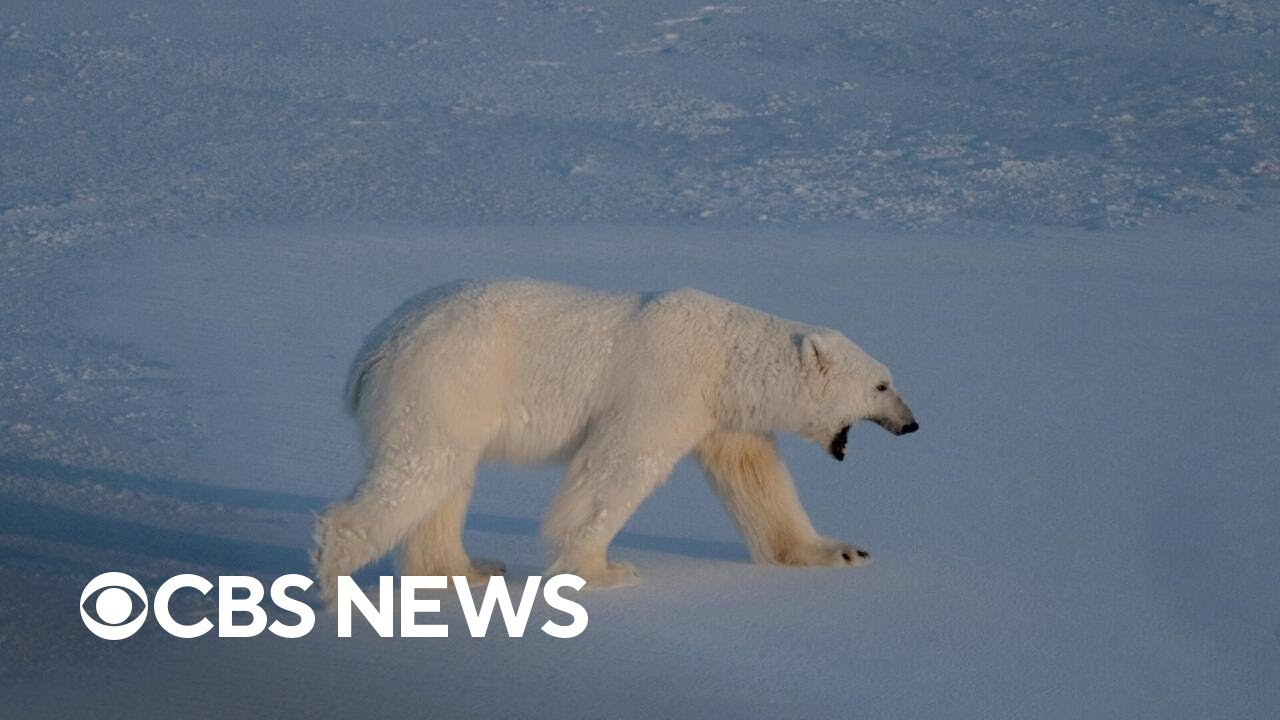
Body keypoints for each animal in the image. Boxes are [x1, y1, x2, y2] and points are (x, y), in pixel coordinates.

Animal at [313, 279, 917, 607]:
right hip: (447, 378)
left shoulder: (723, 415)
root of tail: (373, 348)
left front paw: (841, 552)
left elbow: (756, 478)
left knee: (445, 481)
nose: (912, 424)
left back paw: (468, 570)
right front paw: (604, 571)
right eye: (881, 385)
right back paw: (337, 582)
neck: (725, 357)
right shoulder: (664, 384)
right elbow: (617, 465)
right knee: (420, 469)